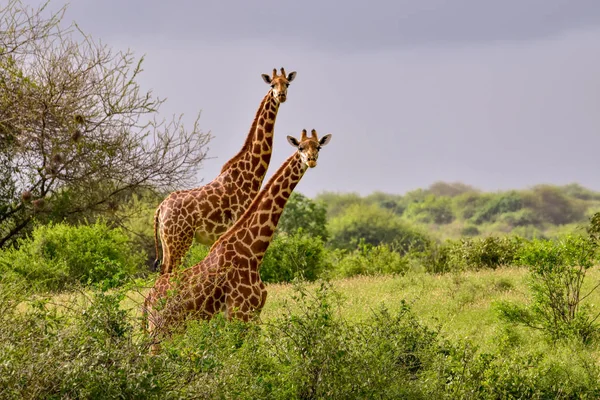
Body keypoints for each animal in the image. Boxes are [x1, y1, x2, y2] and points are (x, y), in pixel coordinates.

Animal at [145, 129, 332, 346]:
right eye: (301, 147)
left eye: (318, 147)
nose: (311, 160)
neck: (252, 250)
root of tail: (148, 300)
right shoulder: (240, 313)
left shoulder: (254, 314)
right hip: (161, 329)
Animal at [154, 67, 296, 276]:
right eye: (272, 84)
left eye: (287, 83)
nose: (281, 95)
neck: (251, 174)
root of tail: (160, 209)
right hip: (178, 240)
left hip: (167, 242)